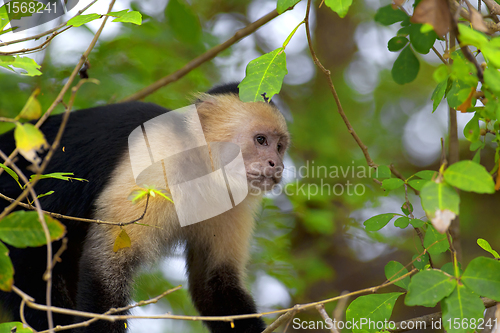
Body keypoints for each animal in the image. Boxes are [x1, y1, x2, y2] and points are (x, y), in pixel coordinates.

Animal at [0, 83, 290, 332]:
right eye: (261, 140)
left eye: (279, 147)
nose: (277, 164)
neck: (199, 165)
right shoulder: (157, 166)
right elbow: (106, 266)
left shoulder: (230, 200)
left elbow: (215, 284)